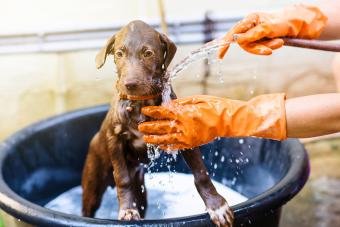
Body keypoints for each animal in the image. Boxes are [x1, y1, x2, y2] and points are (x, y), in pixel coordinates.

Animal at [81, 20, 234, 226]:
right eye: (119, 53)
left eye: (148, 53)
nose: (130, 84)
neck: (140, 103)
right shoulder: (115, 139)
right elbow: (122, 178)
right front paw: (127, 210)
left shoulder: (181, 132)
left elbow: (201, 173)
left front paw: (217, 206)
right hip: (93, 181)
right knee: (88, 207)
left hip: (140, 189)